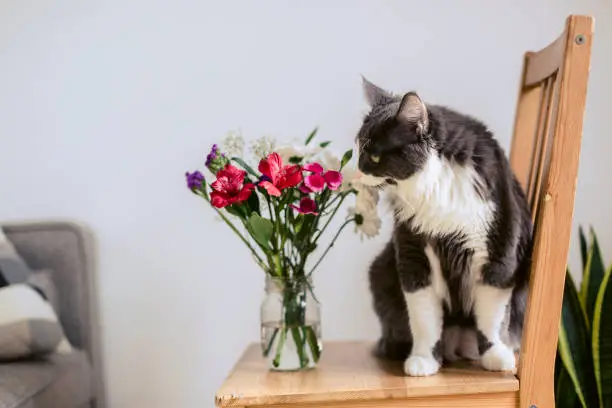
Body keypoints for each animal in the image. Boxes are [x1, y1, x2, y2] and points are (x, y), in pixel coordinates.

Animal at [356, 78, 532, 378]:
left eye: (375, 156)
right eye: (357, 148)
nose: (356, 171)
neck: (435, 186)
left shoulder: (499, 254)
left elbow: (493, 317)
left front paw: (497, 357)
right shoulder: (414, 254)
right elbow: (424, 318)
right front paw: (423, 361)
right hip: (381, 271)